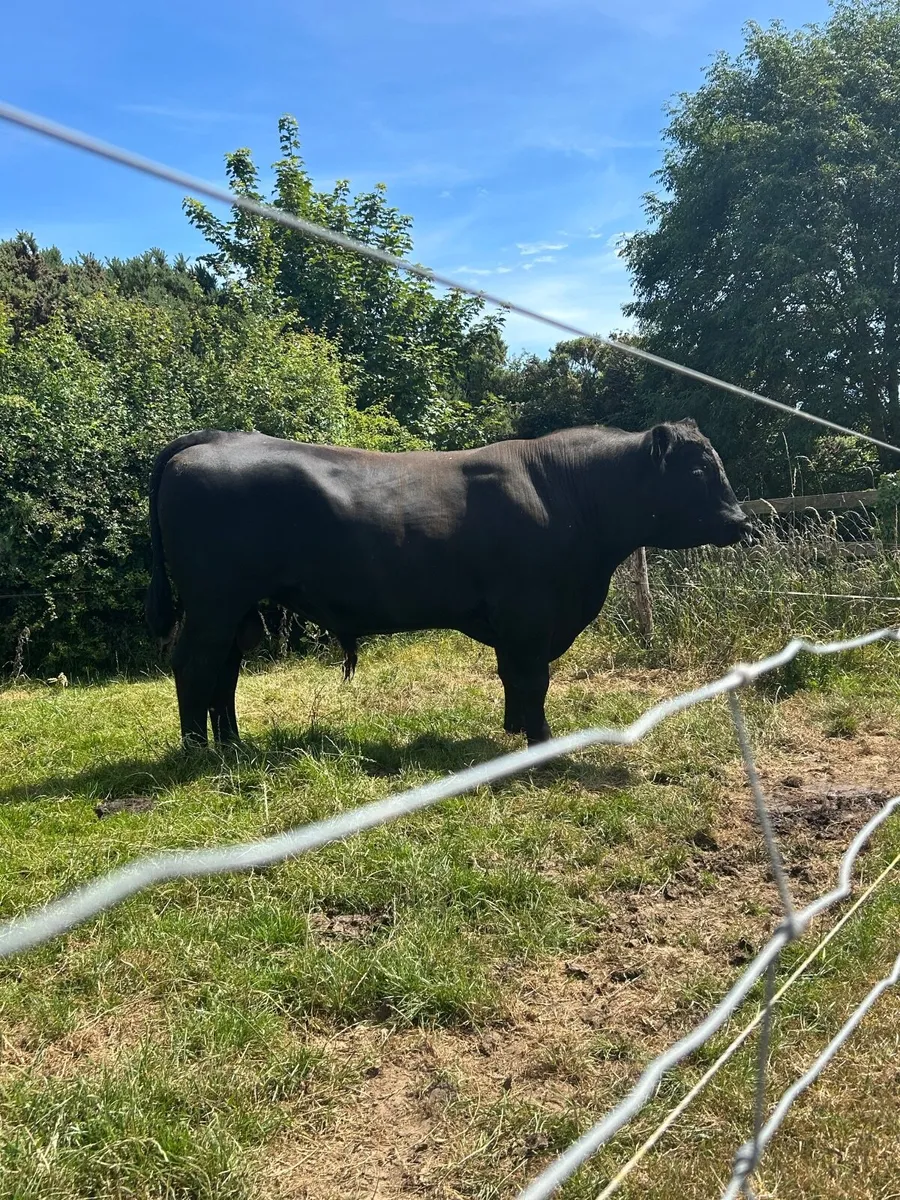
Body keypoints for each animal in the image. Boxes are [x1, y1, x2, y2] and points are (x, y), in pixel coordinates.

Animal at [145, 420, 750, 748]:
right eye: (699, 470)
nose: (742, 521)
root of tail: (216, 439)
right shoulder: (529, 615)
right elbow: (533, 679)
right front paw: (540, 741)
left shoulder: (515, 623)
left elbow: (513, 677)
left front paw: (513, 730)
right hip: (213, 602)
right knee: (194, 665)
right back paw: (198, 750)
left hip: (233, 608)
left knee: (224, 670)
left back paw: (231, 744)